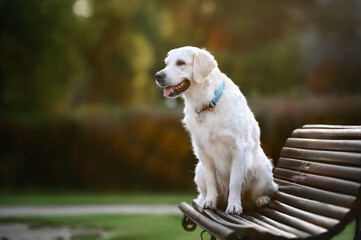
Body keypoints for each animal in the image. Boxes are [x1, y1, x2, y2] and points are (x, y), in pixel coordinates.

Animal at [154, 46, 276, 214]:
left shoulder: (238, 149)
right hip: (198, 171)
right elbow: (211, 181)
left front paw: (234, 206)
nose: (157, 76)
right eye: (166, 63)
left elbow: (235, 182)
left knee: (261, 193)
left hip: (263, 171)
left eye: (181, 63)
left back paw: (261, 199)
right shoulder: (203, 152)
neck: (208, 103)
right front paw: (210, 202)